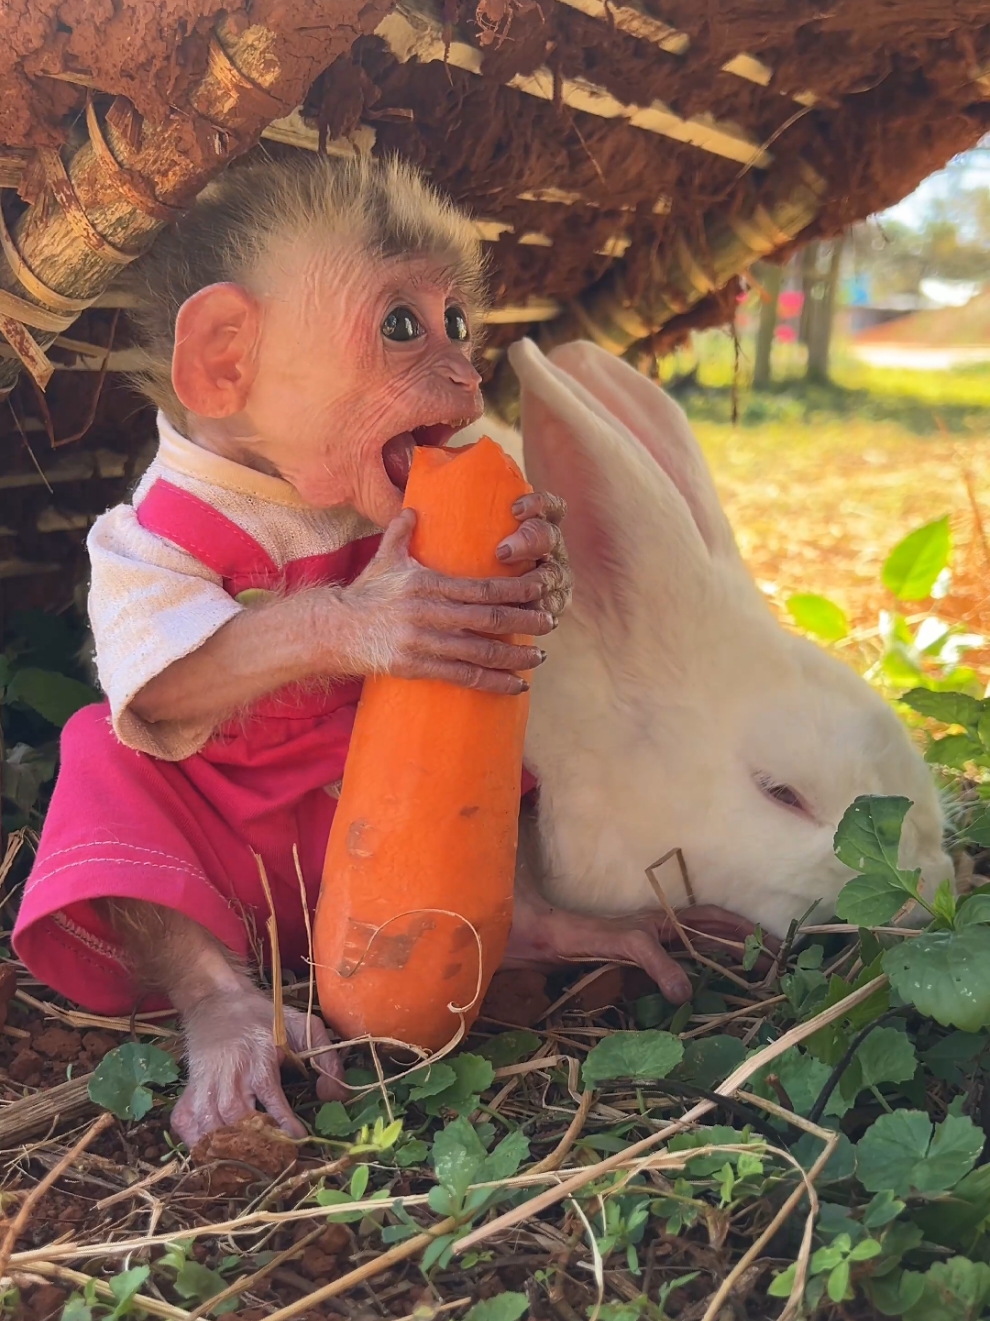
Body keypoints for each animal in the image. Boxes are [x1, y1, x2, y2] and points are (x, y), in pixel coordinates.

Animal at [13, 157, 756, 1146]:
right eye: (403, 326)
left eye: (459, 322)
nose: (466, 377)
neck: (282, 494)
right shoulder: (134, 545)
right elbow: (182, 667)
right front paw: (379, 612)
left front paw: (548, 556)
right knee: (114, 781)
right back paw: (236, 1030)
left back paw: (560, 933)